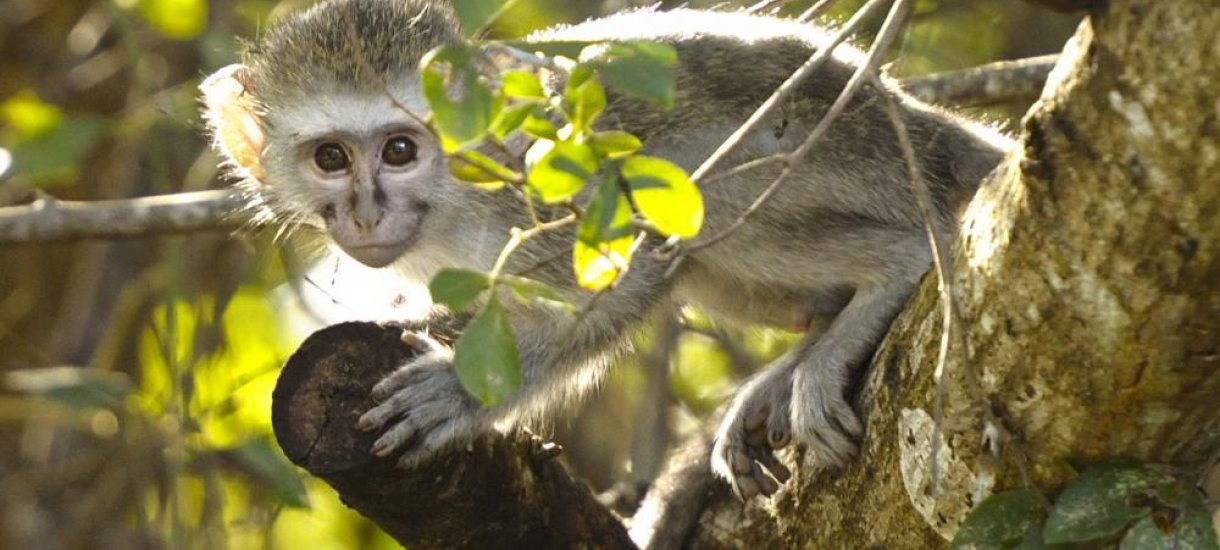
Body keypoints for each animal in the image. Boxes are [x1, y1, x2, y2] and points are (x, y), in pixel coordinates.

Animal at [204, 0, 1015, 502]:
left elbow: (637, 272)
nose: (366, 214)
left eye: (400, 151)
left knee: (700, 193)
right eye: (331, 159)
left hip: (860, 166)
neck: (455, 205)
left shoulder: (540, 202)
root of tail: (923, 125)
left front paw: (464, 394)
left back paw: (892, 268)